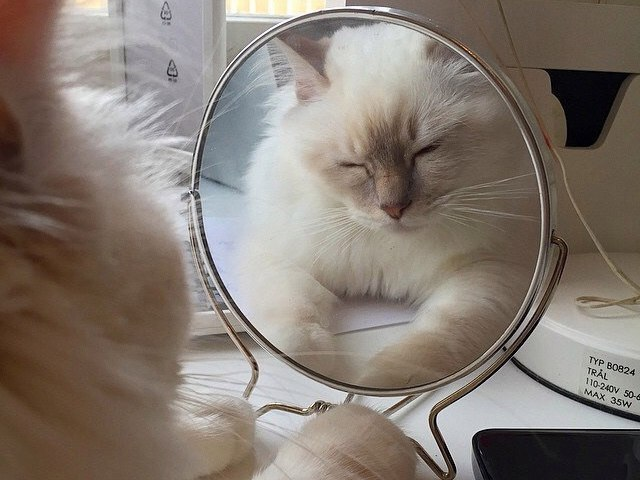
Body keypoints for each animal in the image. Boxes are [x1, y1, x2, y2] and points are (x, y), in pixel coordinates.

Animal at [237, 22, 540, 387]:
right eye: (353, 165)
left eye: (426, 151)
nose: (394, 209)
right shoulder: (278, 255)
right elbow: (296, 316)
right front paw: (319, 361)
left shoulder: (490, 272)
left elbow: (435, 338)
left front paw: (372, 383)